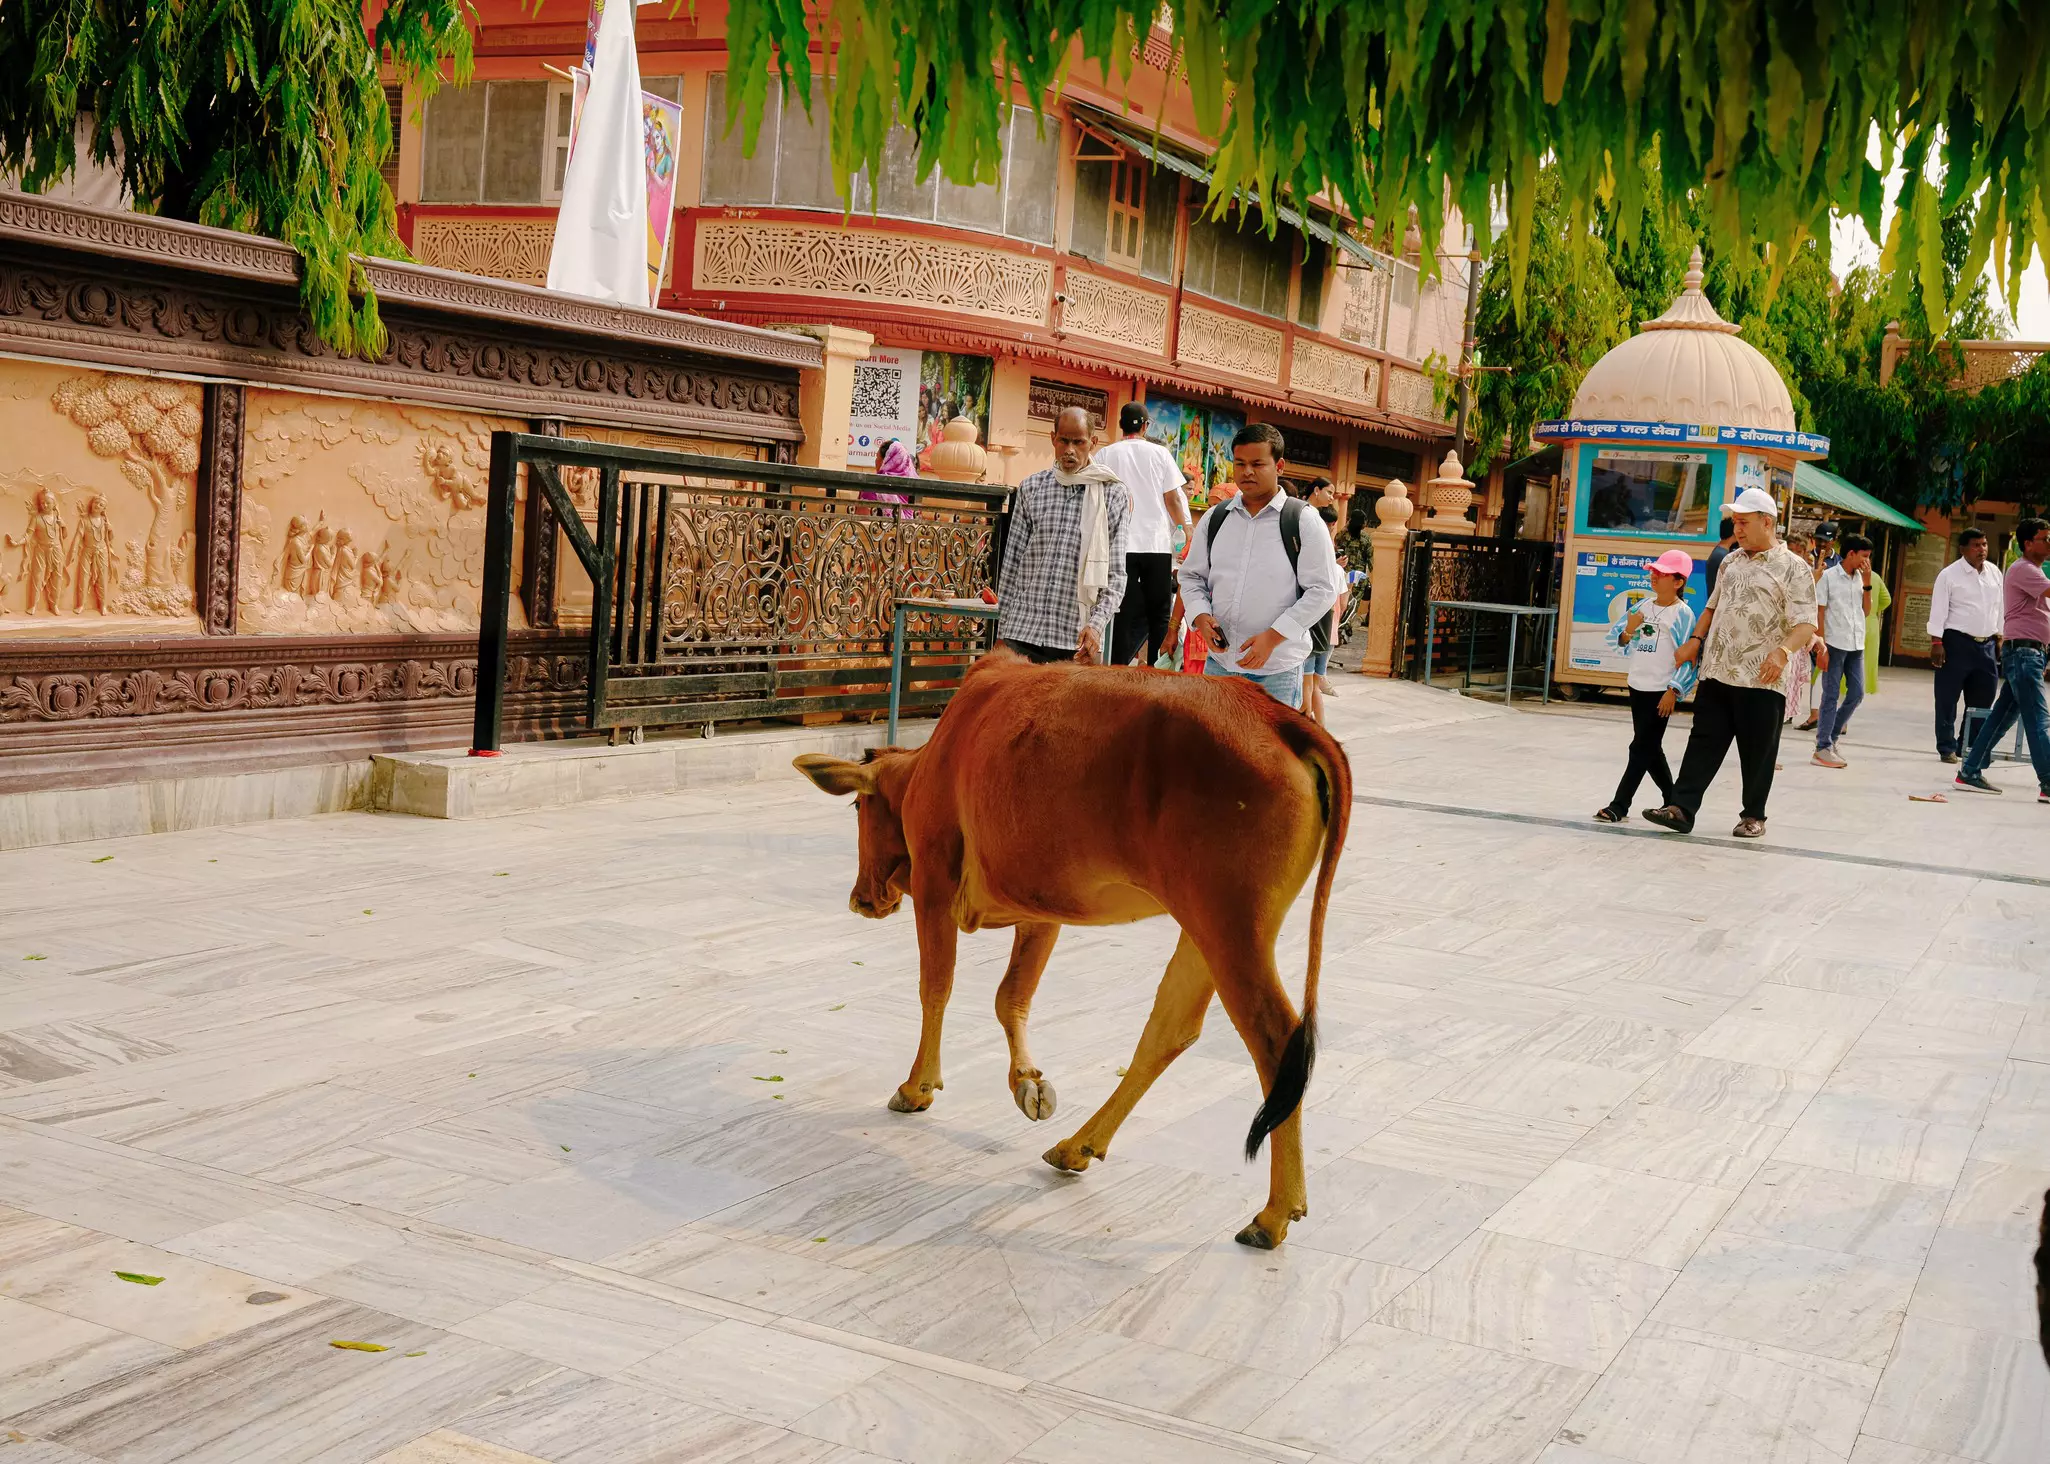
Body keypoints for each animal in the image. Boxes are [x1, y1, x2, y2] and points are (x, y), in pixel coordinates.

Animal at [794, 649, 1350, 1249]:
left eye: (856, 808)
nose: (860, 900)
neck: (934, 759)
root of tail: (1281, 720)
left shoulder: (936, 881)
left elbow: (936, 987)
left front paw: (918, 1086)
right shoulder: (1041, 906)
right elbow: (1011, 997)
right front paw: (1028, 1084)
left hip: (1232, 929)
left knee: (1275, 1043)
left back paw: (1273, 1213)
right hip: (1206, 929)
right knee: (1170, 1030)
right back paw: (1077, 1146)